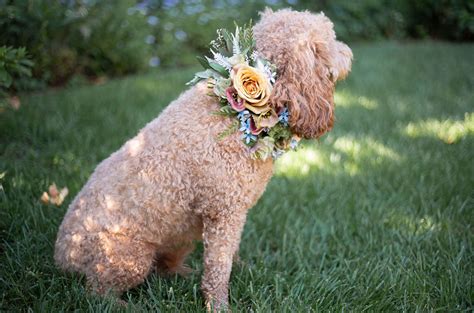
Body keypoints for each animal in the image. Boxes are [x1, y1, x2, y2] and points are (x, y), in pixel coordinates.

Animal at [54, 7, 352, 310]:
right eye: (330, 42)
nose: (349, 54)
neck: (238, 114)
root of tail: (62, 257)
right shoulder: (224, 213)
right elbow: (218, 267)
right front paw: (219, 305)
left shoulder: (232, 216)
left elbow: (229, 256)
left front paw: (241, 271)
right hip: (129, 257)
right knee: (96, 291)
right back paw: (125, 305)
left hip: (179, 238)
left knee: (164, 267)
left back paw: (183, 273)